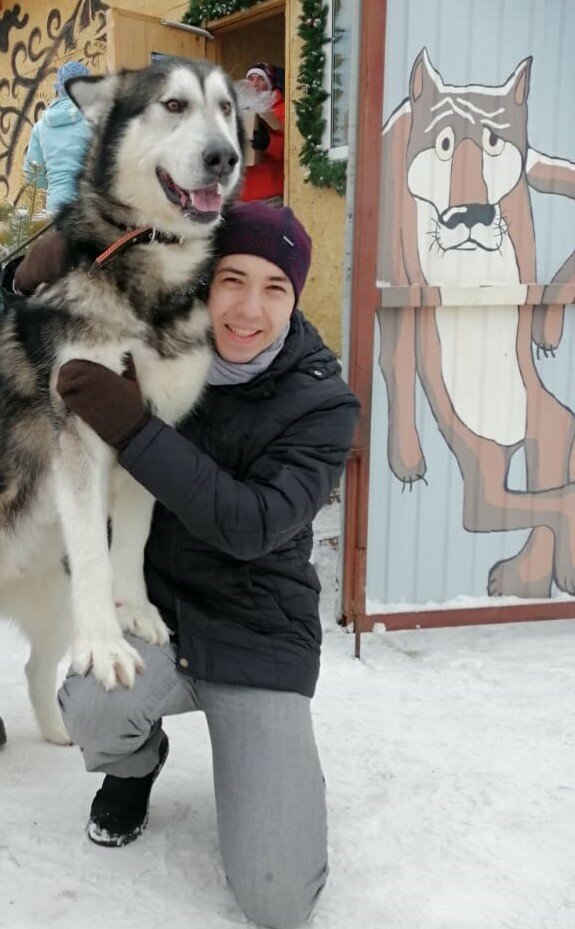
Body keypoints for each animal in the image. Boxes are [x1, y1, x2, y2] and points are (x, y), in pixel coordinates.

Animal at [0, 57, 243, 743]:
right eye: (173, 105)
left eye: (226, 109)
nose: (224, 157)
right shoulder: (80, 427)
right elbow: (92, 545)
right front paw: (107, 646)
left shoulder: (146, 426)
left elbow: (130, 539)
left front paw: (132, 610)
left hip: (52, 599)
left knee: (35, 666)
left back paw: (59, 734)